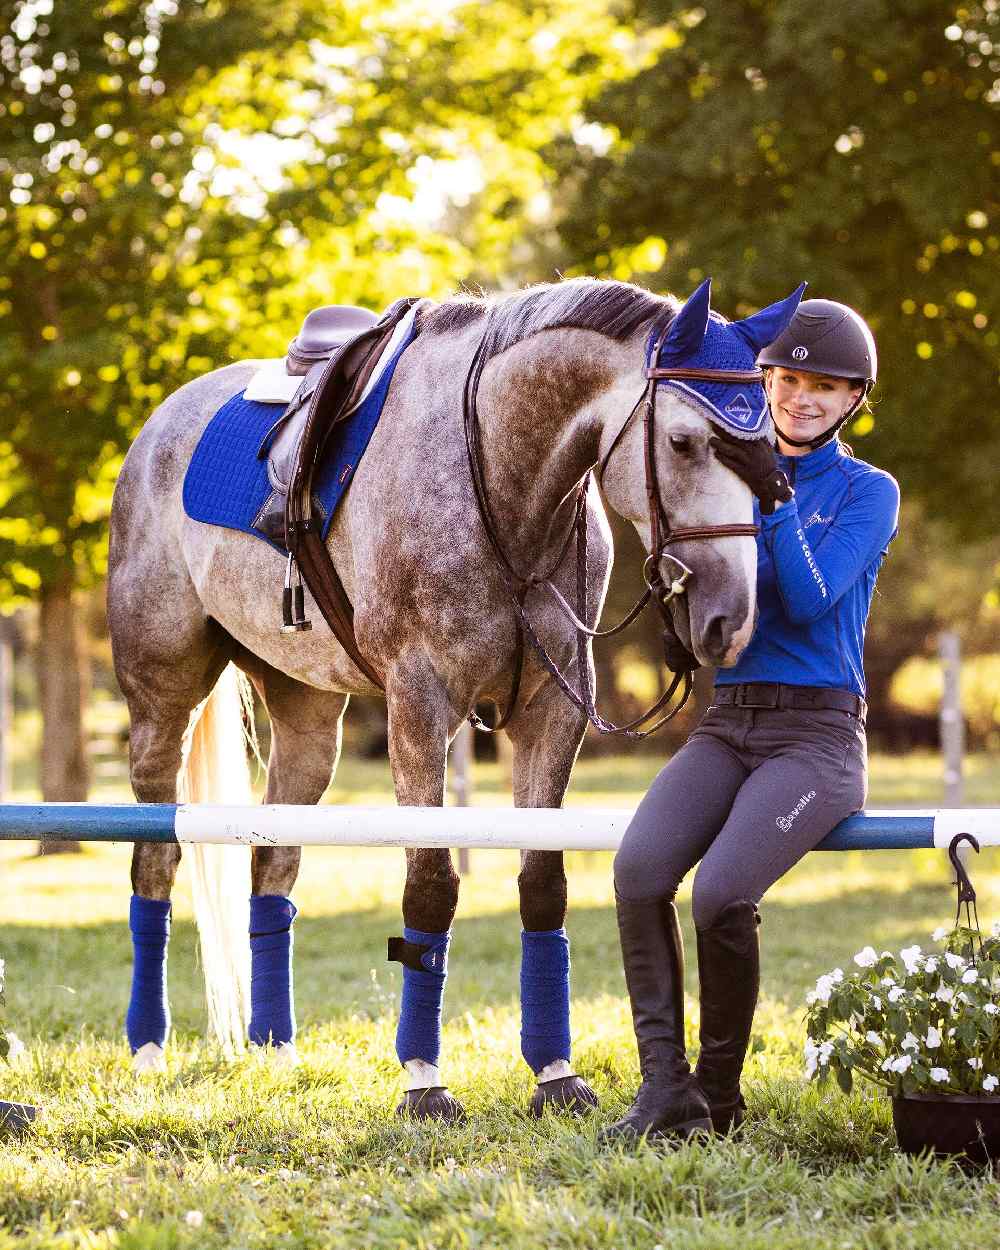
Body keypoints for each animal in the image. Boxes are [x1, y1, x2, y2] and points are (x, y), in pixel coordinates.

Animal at [107, 278, 760, 1120]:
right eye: (683, 443)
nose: (729, 616)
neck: (504, 485)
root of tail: (160, 423)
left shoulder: (553, 712)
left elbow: (542, 884)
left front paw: (555, 1075)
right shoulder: (420, 705)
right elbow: (431, 888)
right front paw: (423, 1082)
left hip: (308, 718)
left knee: (274, 864)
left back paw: (276, 1047)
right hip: (163, 705)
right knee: (154, 860)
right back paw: (147, 1049)